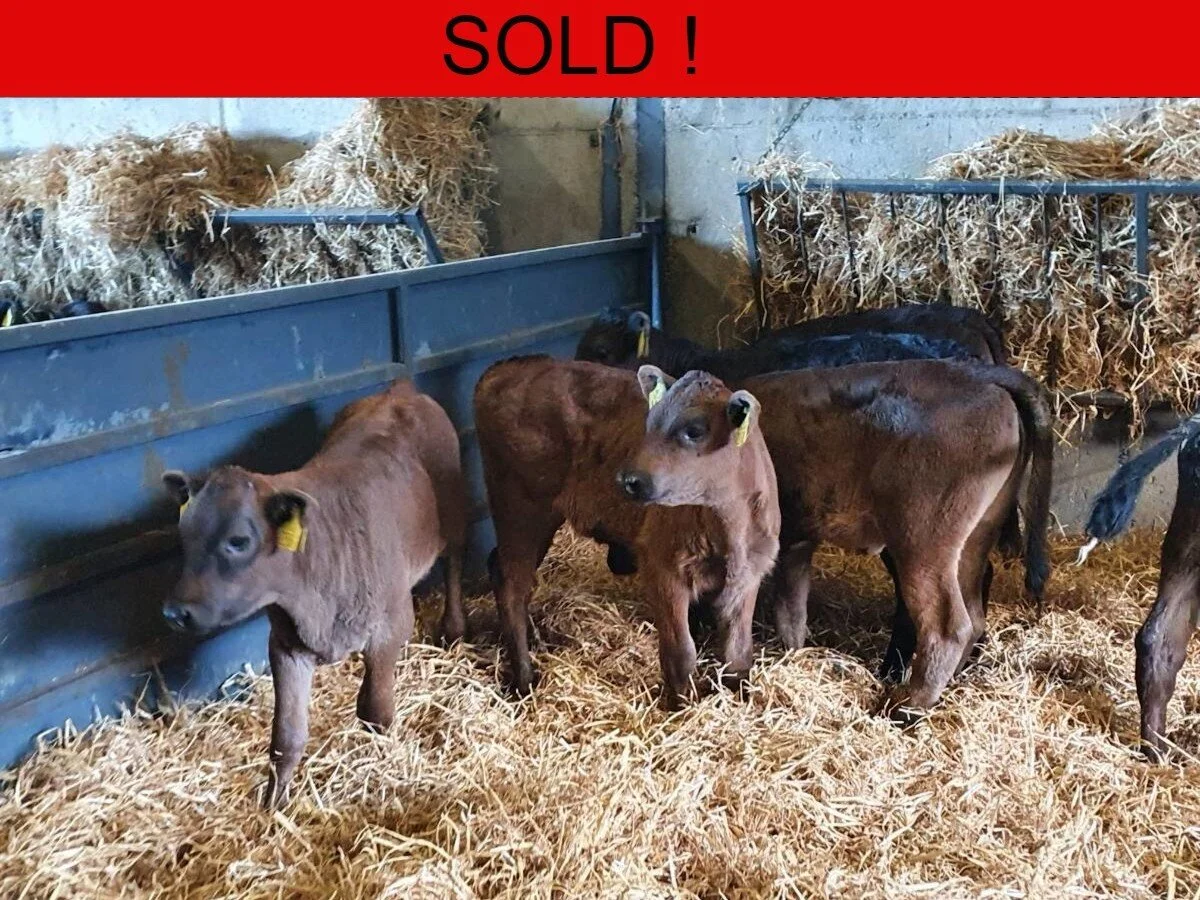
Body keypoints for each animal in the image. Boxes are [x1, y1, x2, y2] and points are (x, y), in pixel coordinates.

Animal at [159, 379, 467, 807]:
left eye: (239, 540)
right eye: (184, 534)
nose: (175, 612)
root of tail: (398, 390)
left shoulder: (391, 626)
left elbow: (376, 710)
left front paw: (383, 762)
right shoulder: (285, 645)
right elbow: (285, 738)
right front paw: (273, 804)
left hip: (453, 514)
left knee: (454, 560)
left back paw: (453, 628)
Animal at [474, 356, 779, 708]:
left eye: (695, 431)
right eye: (651, 422)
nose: (628, 480)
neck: (727, 530)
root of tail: (508, 365)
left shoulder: (749, 575)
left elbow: (738, 654)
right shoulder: (663, 568)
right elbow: (681, 653)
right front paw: (682, 708)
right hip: (521, 508)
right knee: (512, 584)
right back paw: (524, 681)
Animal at [737, 360, 1052, 717]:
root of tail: (980, 373)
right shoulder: (797, 541)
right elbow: (791, 609)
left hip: (923, 543)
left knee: (947, 626)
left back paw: (905, 709)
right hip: (975, 539)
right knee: (973, 614)